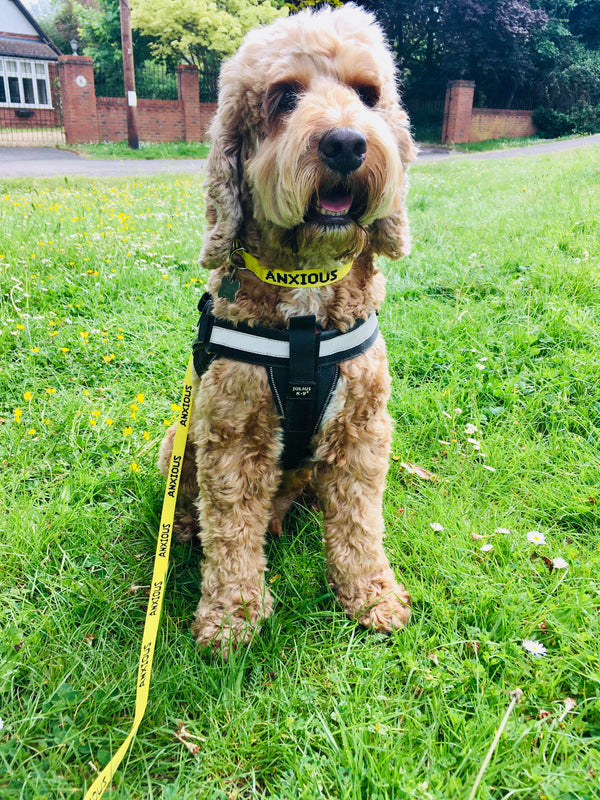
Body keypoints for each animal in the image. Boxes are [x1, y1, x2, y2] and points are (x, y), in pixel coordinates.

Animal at [157, 4, 414, 656]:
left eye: (367, 94)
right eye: (285, 97)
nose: (346, 142)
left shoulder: (362, 430)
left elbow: (359, 522)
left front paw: (370, 593)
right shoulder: (231, 436)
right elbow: (231, 533)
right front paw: (231, 616)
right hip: (178, 439)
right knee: (196, 503)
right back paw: (188, 525)